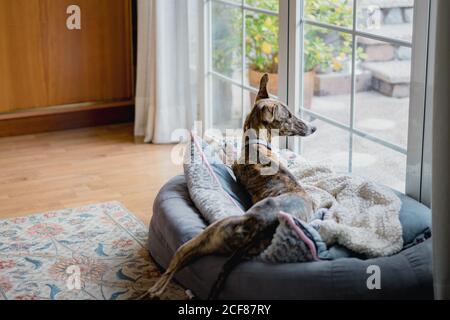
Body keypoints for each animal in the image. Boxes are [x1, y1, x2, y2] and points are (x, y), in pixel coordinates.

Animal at [144, 74, 316, 298]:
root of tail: (261, 228)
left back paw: (154, 289)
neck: (256, 143)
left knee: (174, 263)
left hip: (209, 233)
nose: (314, 128)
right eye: (288, 115)